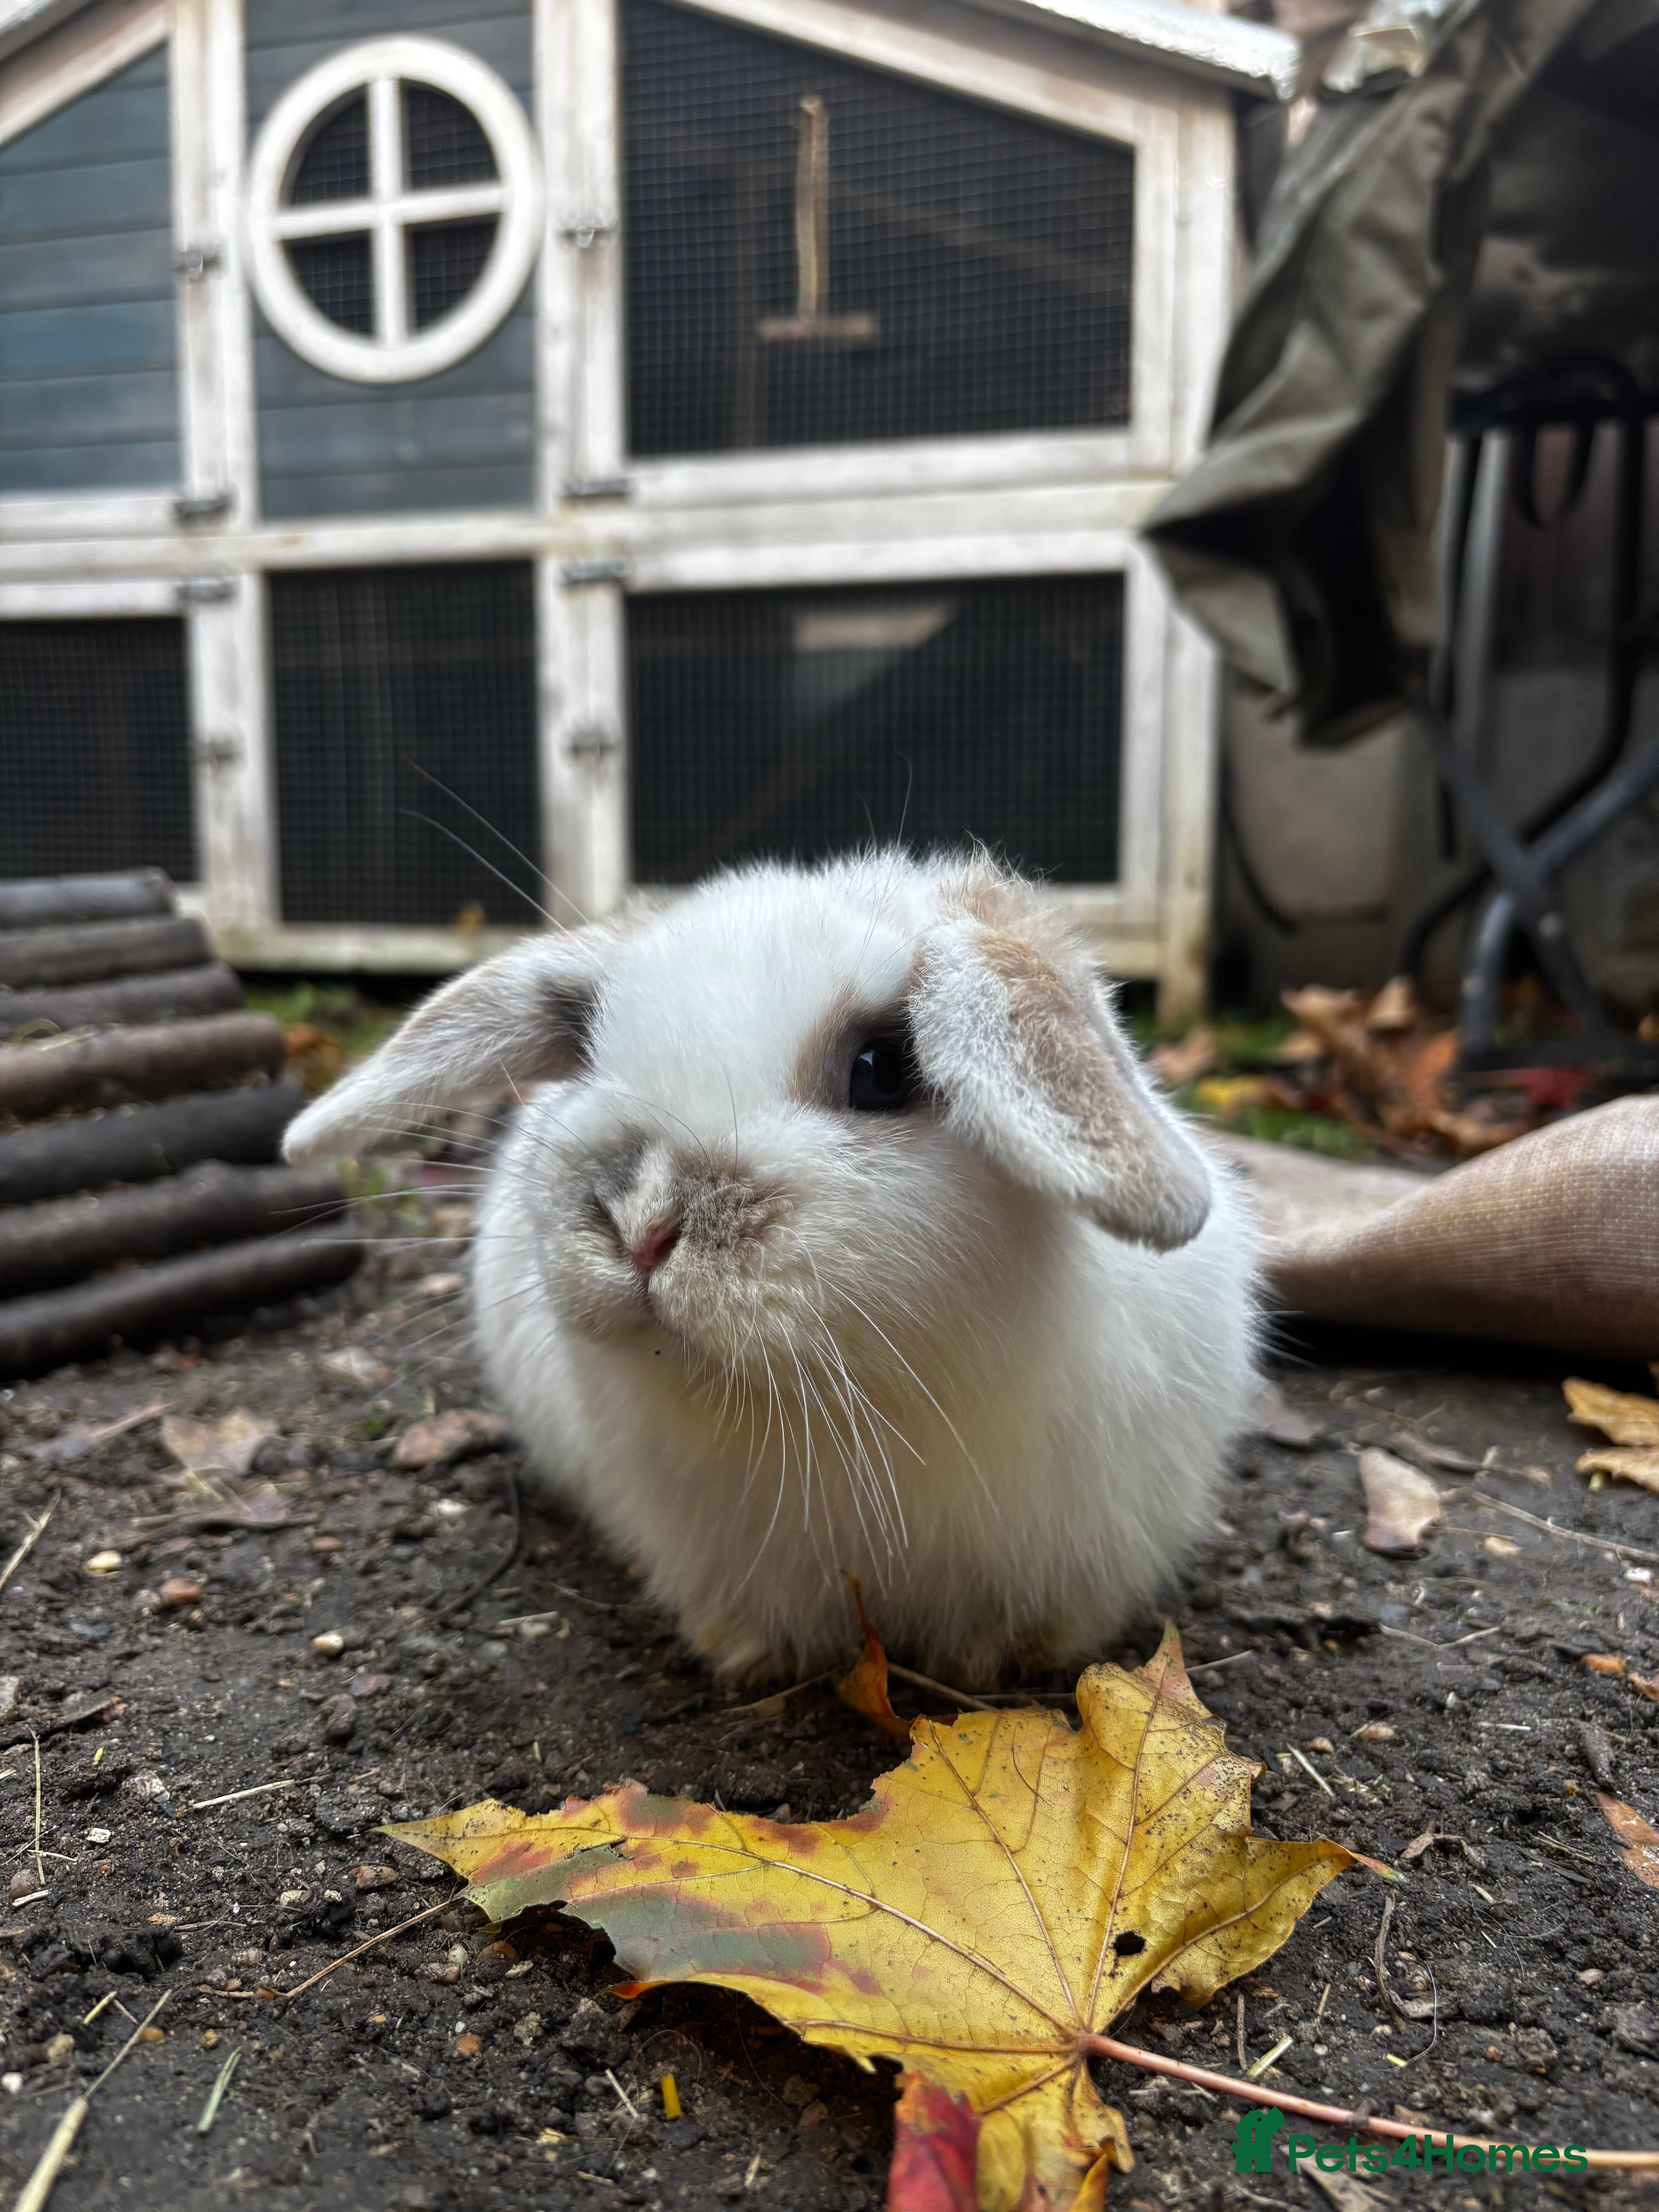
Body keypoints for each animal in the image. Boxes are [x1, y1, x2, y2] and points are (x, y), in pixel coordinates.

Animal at [284, 852, 1256, 1687]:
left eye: (882, 1068)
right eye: (590, 1058)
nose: (642, 1223)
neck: (858, 1410)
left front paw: (995, 1664)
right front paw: (754, 1661)